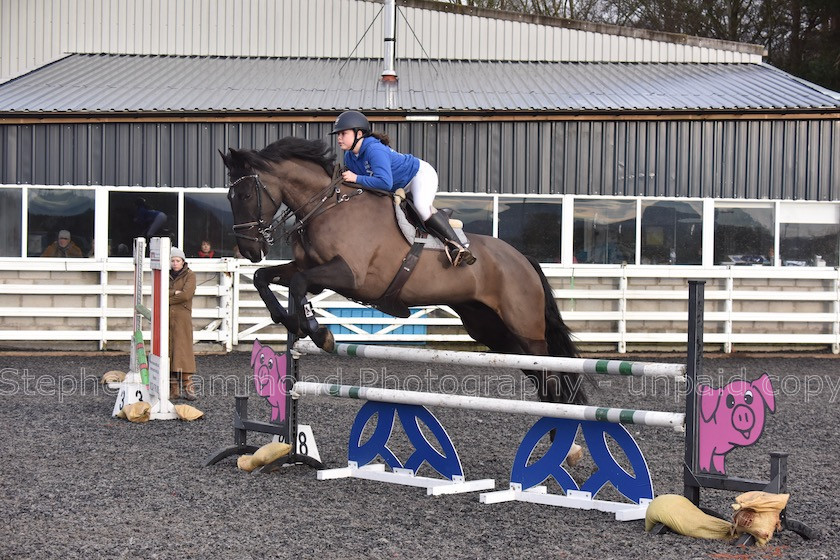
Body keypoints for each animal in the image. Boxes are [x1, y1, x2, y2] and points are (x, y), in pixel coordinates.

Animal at [223, 137, 588, 404]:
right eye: (229, 196)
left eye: (245, 194)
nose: (250, 250)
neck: (326, 205)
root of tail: (523, 260)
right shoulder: (312, 270)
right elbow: (266, 278)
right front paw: (289, 320)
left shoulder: (350, 276)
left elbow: (298, 284)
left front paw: (315, 330)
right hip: (493, 331)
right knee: (540, 377)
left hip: (525, 329)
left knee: (552, 377)